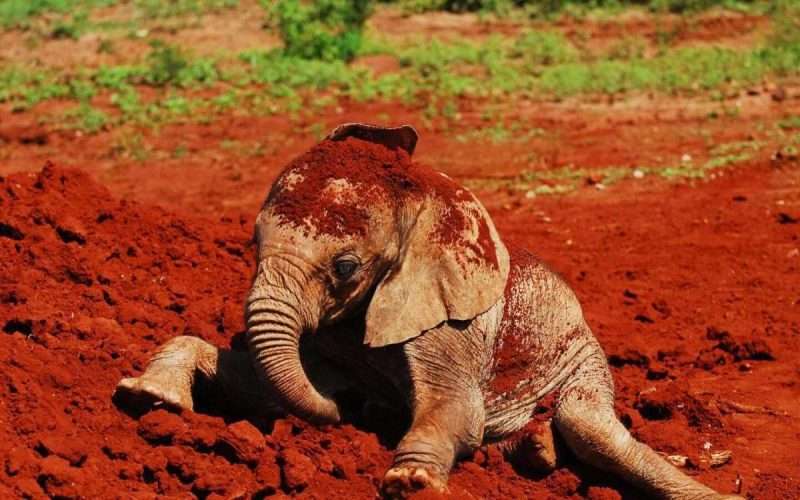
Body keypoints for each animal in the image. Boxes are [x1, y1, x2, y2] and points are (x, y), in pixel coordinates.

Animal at [116, 123, 740, 499]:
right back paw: (535, 449)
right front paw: (150, 397)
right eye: (250, 243)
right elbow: (267, 379)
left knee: (588, 426)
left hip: (583, 356)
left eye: (346, 267)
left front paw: (410, 482)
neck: (422, 201)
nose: (352, 410)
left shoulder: (453, 322)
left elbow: (456, 411)